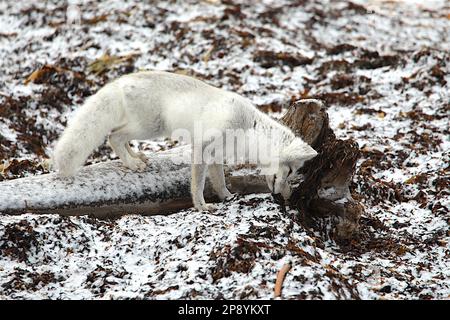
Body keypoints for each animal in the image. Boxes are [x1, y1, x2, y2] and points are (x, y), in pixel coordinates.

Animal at [53, 73, 316, 212]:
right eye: (290, 171)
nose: (285, 197)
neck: (249, 129)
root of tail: (121, 81)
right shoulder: (202, 147)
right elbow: (197, 184)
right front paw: (201, 207)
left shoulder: (216, 156)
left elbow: (219, 181)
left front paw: (226, 197)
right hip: (150, 127)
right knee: (113, 136)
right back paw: (132, 163)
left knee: (117, 136)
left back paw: (136, 158)